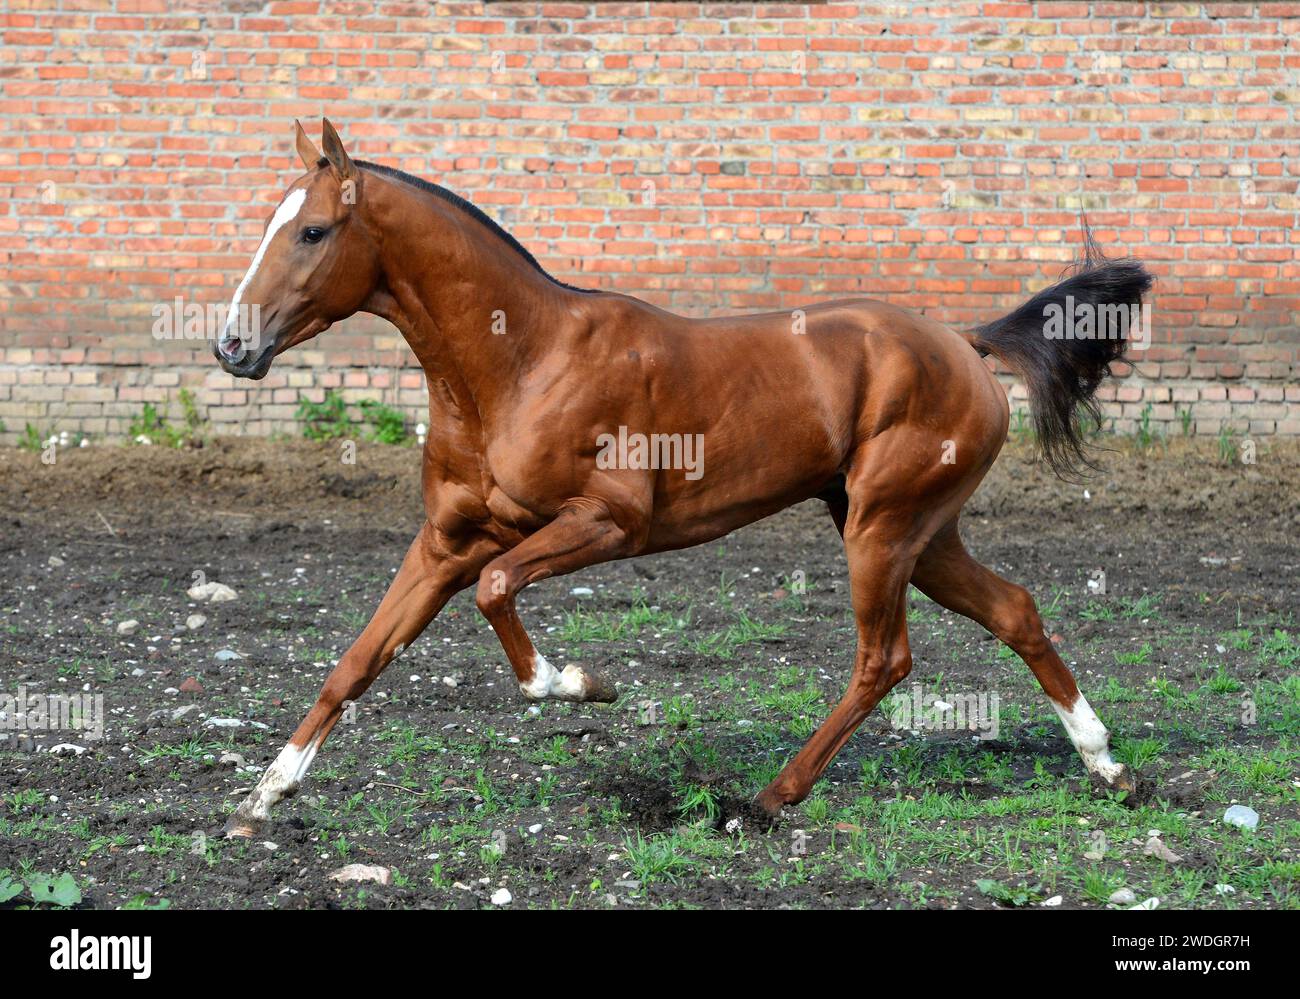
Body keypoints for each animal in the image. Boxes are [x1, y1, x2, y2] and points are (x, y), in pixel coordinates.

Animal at [214, 119, 1151, 837]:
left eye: (311, 232)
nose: (231, 344)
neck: (518, 363)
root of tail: (965, 340)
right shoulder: (445, 541)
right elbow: (357, 661)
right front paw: (264, 794)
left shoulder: (608, 523)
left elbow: (497, 591)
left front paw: (583, 684)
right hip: (917, 532)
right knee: (1014, 609)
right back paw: (1108, 763)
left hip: (883, 527)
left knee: (884, 658)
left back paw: (768, 798)